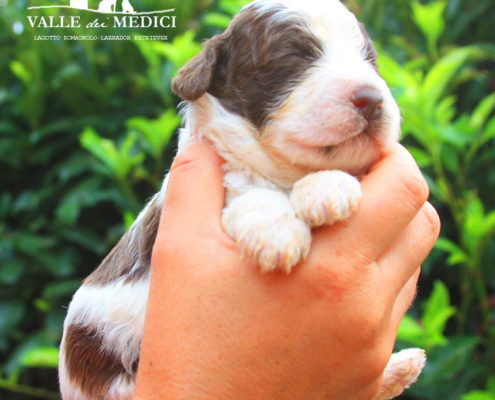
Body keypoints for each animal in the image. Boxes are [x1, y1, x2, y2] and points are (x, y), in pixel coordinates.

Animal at [59, 0, 426, 398]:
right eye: (293, 58)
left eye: (369, 60)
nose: (373, 100)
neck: (287, 173)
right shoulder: (223, 169)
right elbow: (250, 188)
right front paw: (278, 234)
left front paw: (326, 187)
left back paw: (402, 366)